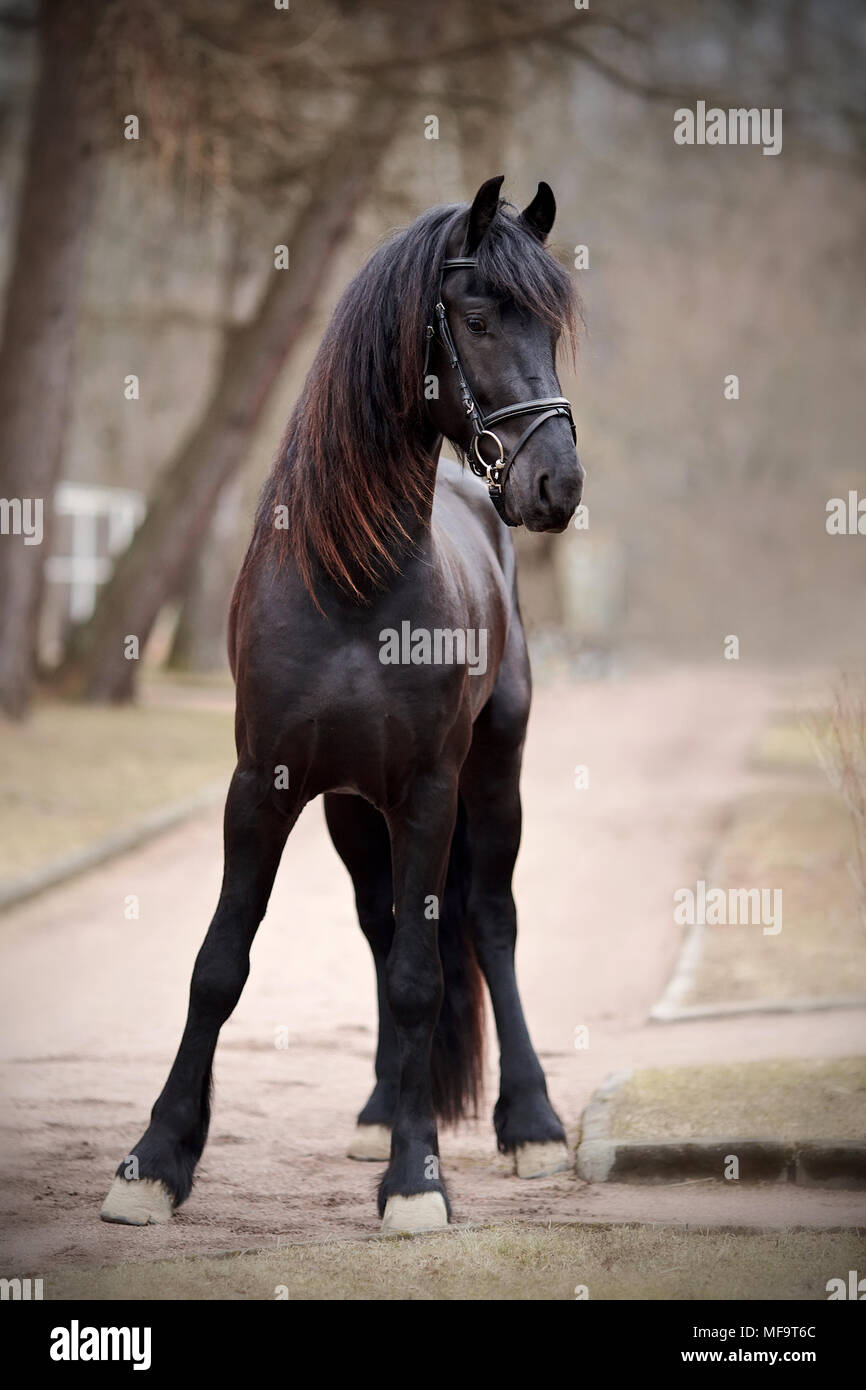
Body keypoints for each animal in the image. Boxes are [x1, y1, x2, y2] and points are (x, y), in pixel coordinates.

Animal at [103, 176, 589, 1239]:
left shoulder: (430, 792)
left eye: (553, 327)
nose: (558, 484)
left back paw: (529, 1123)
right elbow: (220, 965)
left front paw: (416, 1180)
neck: (353, 586)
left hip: (493, 774)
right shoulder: (264, 788)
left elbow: (420, 978)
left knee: (488, 922)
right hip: (348, 811)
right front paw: (155, 1164)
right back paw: (378, 1111)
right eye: (479, 317)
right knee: (380, 924)